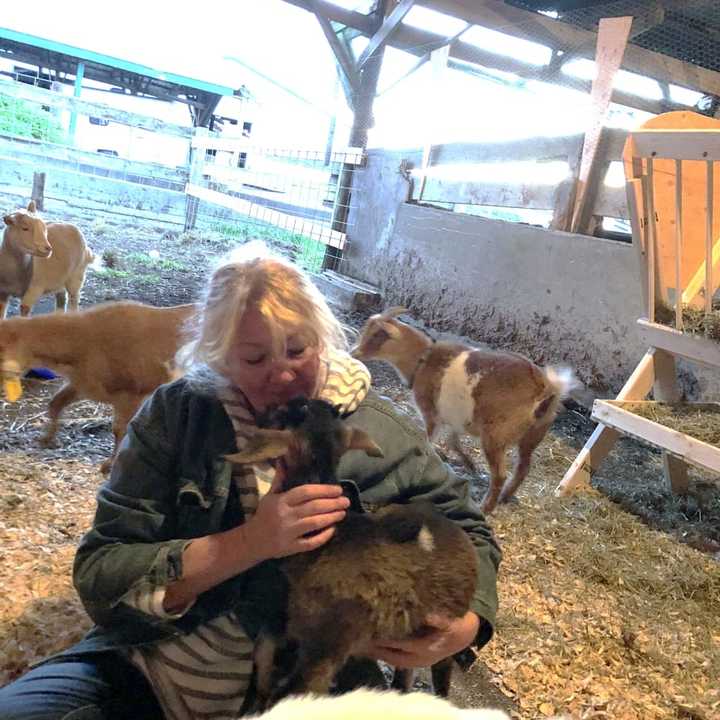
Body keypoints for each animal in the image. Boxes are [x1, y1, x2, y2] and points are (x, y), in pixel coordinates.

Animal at [0, 302, 197, 476]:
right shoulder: (83, 384)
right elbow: (55, 403)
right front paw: (47, 439)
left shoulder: (130, 395)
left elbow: (120, 429)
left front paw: (110, 465)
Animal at [228, 400, 478, 708]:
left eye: (287, 411)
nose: (266, 412)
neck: (333, 540)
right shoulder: (290, 624)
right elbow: (263, 662)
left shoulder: (328, 644)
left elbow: (294, 692)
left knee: (441, 670)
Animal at [352, 306, 576, 516]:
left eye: (377, 334)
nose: (355, 352)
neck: (423, 360)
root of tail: (546, 389)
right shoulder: (456, 417)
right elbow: (453, 441)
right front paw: (469, 464)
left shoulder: (431, 412)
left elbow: (430, 437)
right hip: (533, 435)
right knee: (523, 468)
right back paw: (505, 496)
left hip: (495, 436)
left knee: (500, 474)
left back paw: (486, 507)